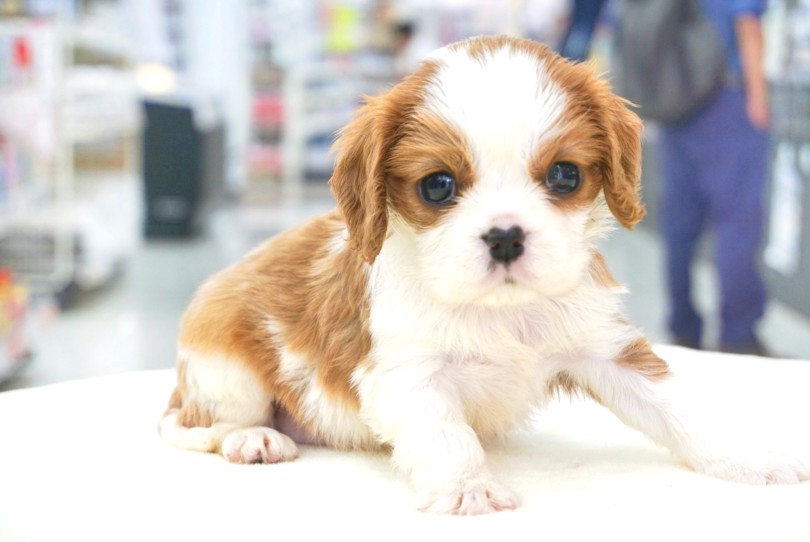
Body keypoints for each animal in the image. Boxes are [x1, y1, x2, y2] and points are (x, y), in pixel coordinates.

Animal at [158, 37, 800, 516]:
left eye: (565, 175)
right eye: (437, 185)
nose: (506, 236)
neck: (503, 308)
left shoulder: (607, 347)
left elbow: (679, 409)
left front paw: (750, 460)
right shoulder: (407, 372)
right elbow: (447, 433)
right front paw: (468, 486)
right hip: (225, 363)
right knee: (190, 425)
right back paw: (253, 437)